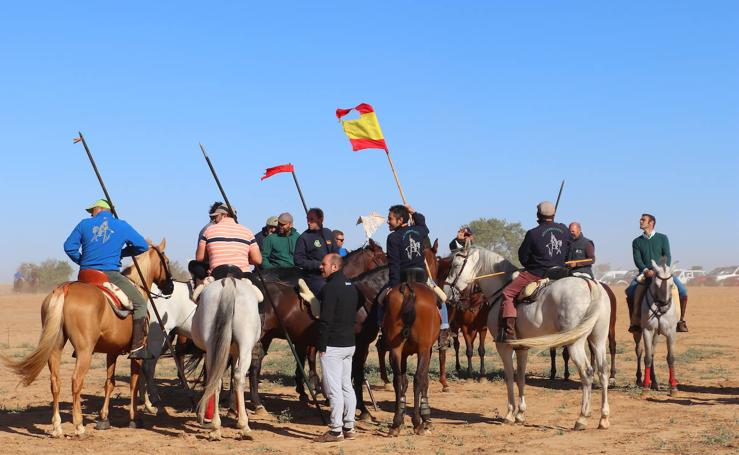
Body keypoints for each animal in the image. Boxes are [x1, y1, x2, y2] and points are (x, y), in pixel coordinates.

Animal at [0, 242, 173, 438]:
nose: (170, 287)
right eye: (166, 261)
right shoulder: (137, 352)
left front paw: (104, 418)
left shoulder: (112, 351)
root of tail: (66, 288)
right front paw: (134, 418)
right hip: (84, 351)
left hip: (55, 348)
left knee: (55, 382)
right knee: (76, 381)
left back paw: (57, 427)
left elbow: (109, 383)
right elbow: (134, 384)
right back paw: (79, 426)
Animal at [191, 276, 264, 440]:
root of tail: (229, 282)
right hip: (245, 345)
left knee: (216, 380)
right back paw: (244, 426)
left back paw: (215, 428)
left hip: (212, 346)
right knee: (238, 377)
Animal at [446, 246, 612, 432]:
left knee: (587, 373)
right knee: (603, 371)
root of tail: (589, 284)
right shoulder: (522, 347)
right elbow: (521, 377)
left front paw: (510, 414)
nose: (448, 292)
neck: (500, 288)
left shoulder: (504, 347)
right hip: (598, 340)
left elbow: (509, 377)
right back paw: (603, 418)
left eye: (455, 265)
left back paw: (582, 418)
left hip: (575, 343)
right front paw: (520, 413)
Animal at [640, 262, 680, 398]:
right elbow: (647, 357)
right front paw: (645, 388)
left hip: (657, 335)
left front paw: (673, 387)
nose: (664, 305)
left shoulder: (671, 333)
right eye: (656, 284)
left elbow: (671, 358)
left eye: (671, 285)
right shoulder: (647, 331)